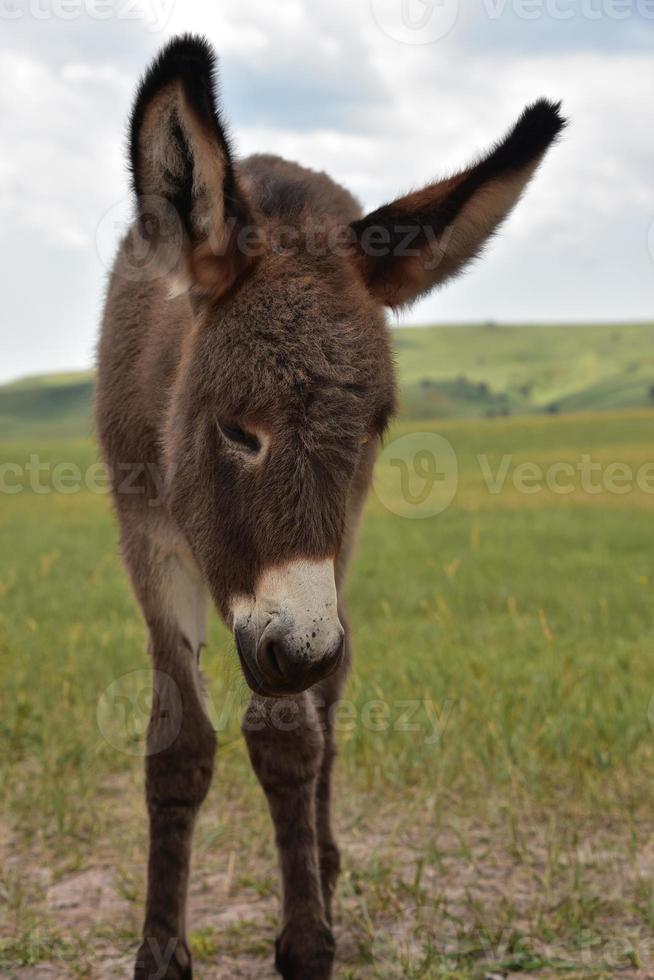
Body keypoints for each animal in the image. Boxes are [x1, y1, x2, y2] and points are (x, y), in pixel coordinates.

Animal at [95, 32, 568, 980]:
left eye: (376, 430)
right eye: (236, 430)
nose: (299, 648)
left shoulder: (322, 567)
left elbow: (291, 738)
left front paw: (308, 938)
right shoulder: (149, 537)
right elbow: (179, 745)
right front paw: (161, 950)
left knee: (331, 704)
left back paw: (327, 855)